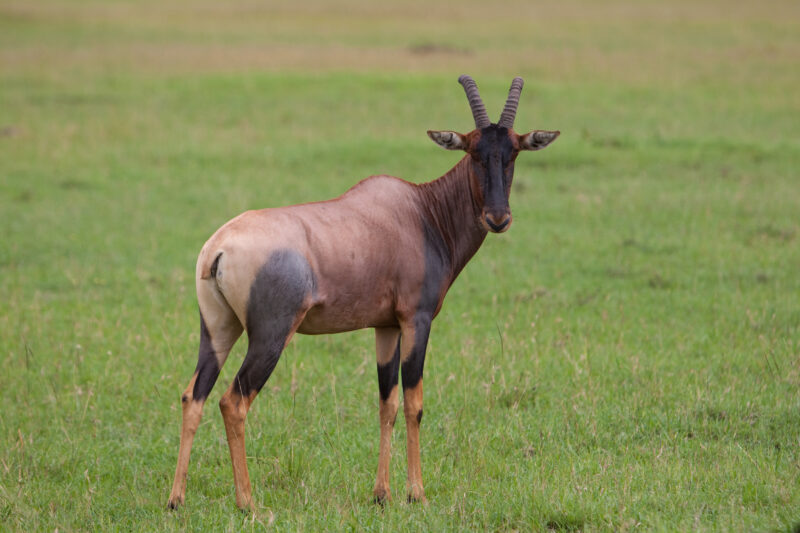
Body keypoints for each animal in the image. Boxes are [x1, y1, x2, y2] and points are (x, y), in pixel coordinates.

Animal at [167, 75, 560, 510]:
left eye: (513, 152)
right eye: (474, 151)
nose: (498, 218)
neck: (421, 212)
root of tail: (218, 247)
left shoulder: (385, 327)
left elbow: (387, 403)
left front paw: (382, 494)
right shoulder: (416, 320)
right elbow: (414, 403)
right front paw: (416, 494)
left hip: (218, 329)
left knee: (193, 396)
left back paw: (176, 499)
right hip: (270, 335)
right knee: (232, 402)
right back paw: (248, 503)